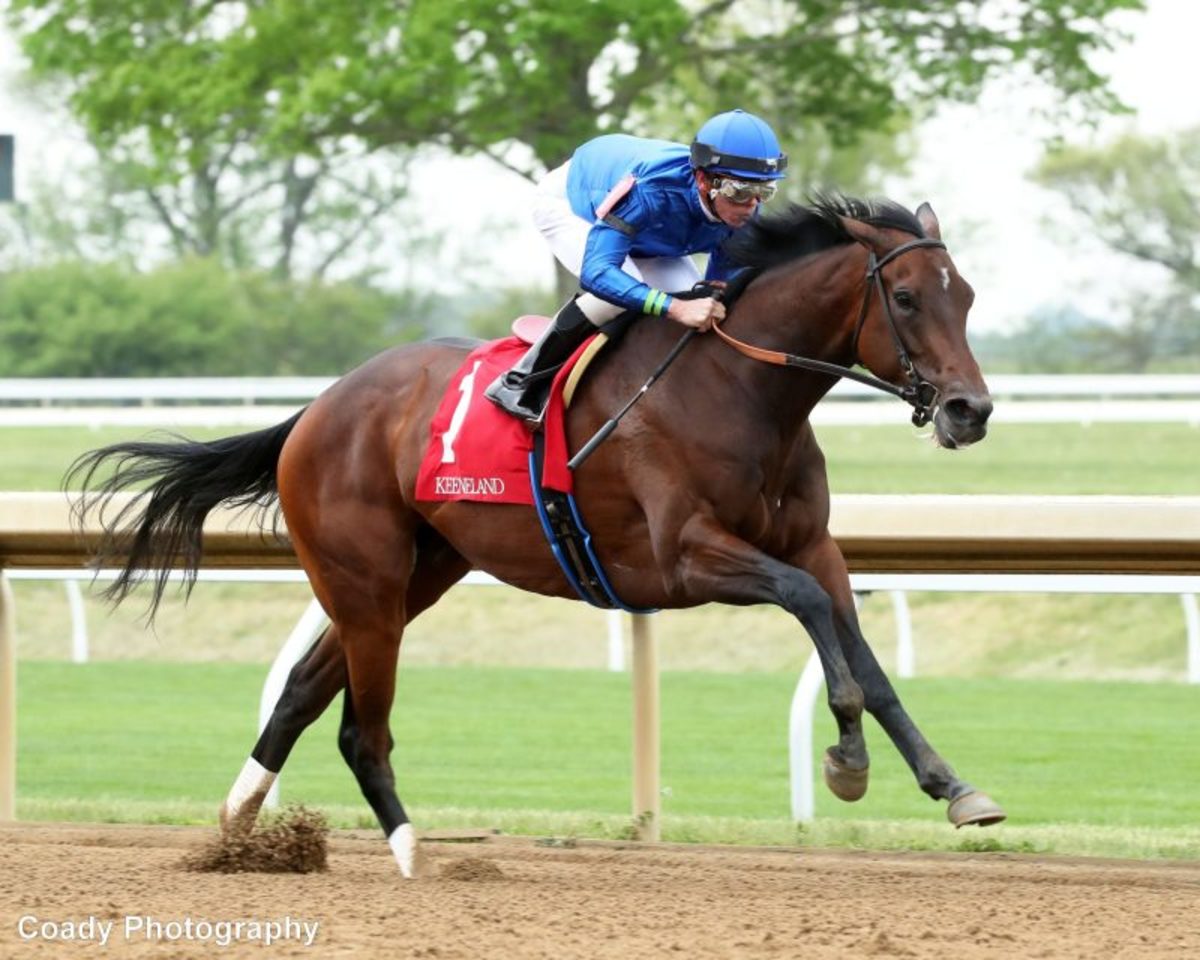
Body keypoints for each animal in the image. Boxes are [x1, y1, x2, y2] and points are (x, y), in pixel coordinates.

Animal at [65, 194, 1003, 878]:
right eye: (907, 298)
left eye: (966, 297)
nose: (971, 410)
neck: (738, 390)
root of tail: (320, 407)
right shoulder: (682, 559)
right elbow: (812, 618)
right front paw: (846, 759)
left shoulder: (815, 545)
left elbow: (865, 659)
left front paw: (952, 785)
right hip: (364, 577)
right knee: (360, 727)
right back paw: (409, 850)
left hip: (415, 575)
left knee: (299, 690)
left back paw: (235, 831)